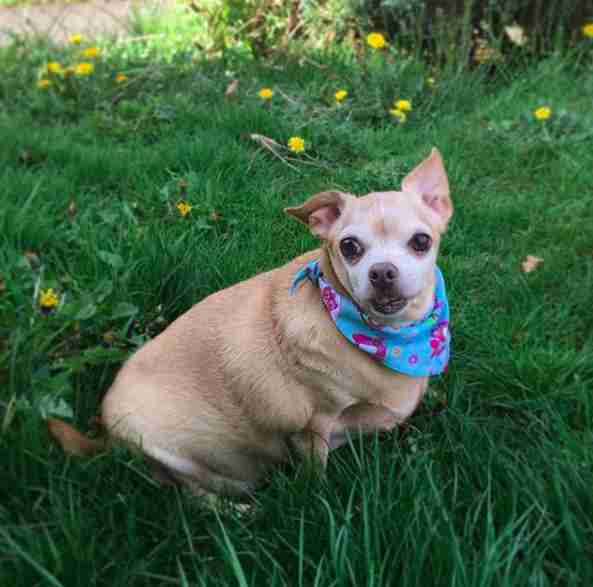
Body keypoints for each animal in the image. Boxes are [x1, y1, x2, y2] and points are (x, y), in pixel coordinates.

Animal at [48, 149, 450, 498]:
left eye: (421, 241)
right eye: (349, 247)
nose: (382, 272)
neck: (389, 337)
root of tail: (104, 435)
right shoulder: (312, 429)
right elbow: (315, 476)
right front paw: (320, 499)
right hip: (172, 455)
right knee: (196, 496)